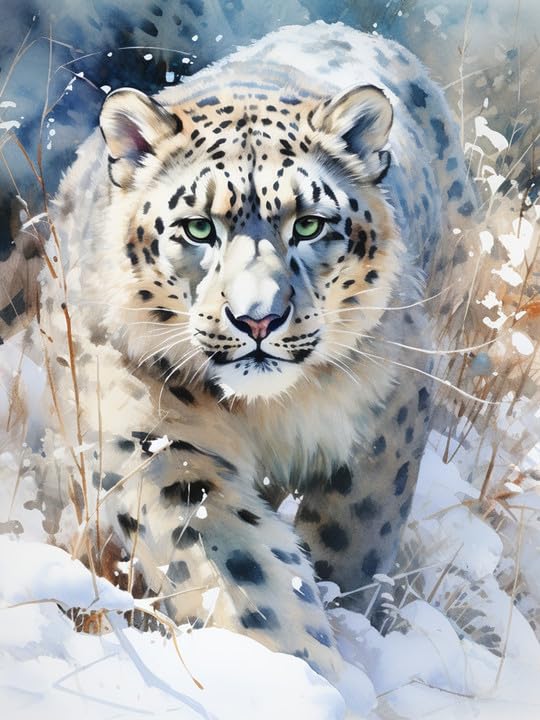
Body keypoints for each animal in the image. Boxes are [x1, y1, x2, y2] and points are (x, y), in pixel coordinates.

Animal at [2, 22, 478, 680]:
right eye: (198, 227)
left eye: (309, 224)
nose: (258, 318)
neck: (269, 413)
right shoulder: (148, 431)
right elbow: (235, 557)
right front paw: (296, 669)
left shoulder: (394, 409)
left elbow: (355, 537)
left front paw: (337, 625)